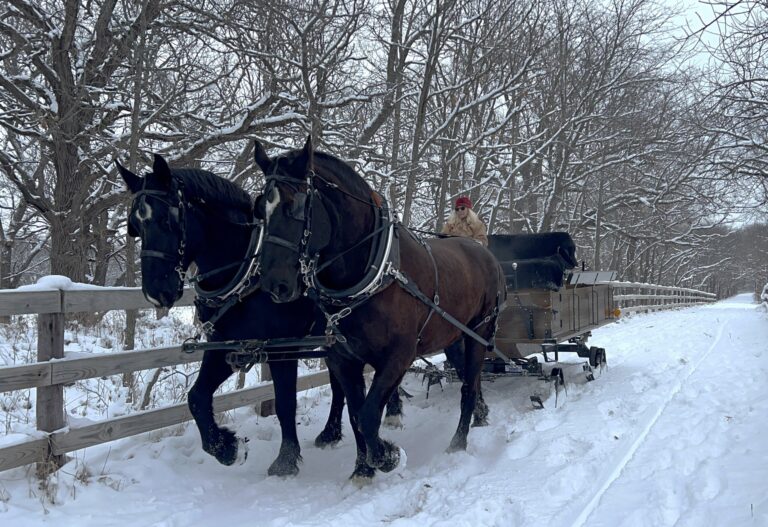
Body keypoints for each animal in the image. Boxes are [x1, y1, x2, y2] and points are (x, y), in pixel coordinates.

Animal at [115, 154, 404, 476]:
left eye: (168, 220)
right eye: (135, 226)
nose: (156, 292)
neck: (244, 273)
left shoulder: (282, 349)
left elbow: (285, 403)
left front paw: (286, 459)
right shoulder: (228, 345)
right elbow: (197, 398)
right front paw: (226, 448)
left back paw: (390, 410)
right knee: (340, 384)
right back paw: (330, 432)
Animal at [253, 137, 507, 481]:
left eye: (294, 205)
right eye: (259, 209)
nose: (273, 284)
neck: (372, 271)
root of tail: (485, 254)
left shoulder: (398, 356)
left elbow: (369, 414)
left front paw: (387, 456)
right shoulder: (344, 359)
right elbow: (356, 414)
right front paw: (363, 468)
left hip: (480, 331)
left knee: (468, 385)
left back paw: (458, 441)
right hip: (455, 336)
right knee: (473, 377)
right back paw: (480, 414)